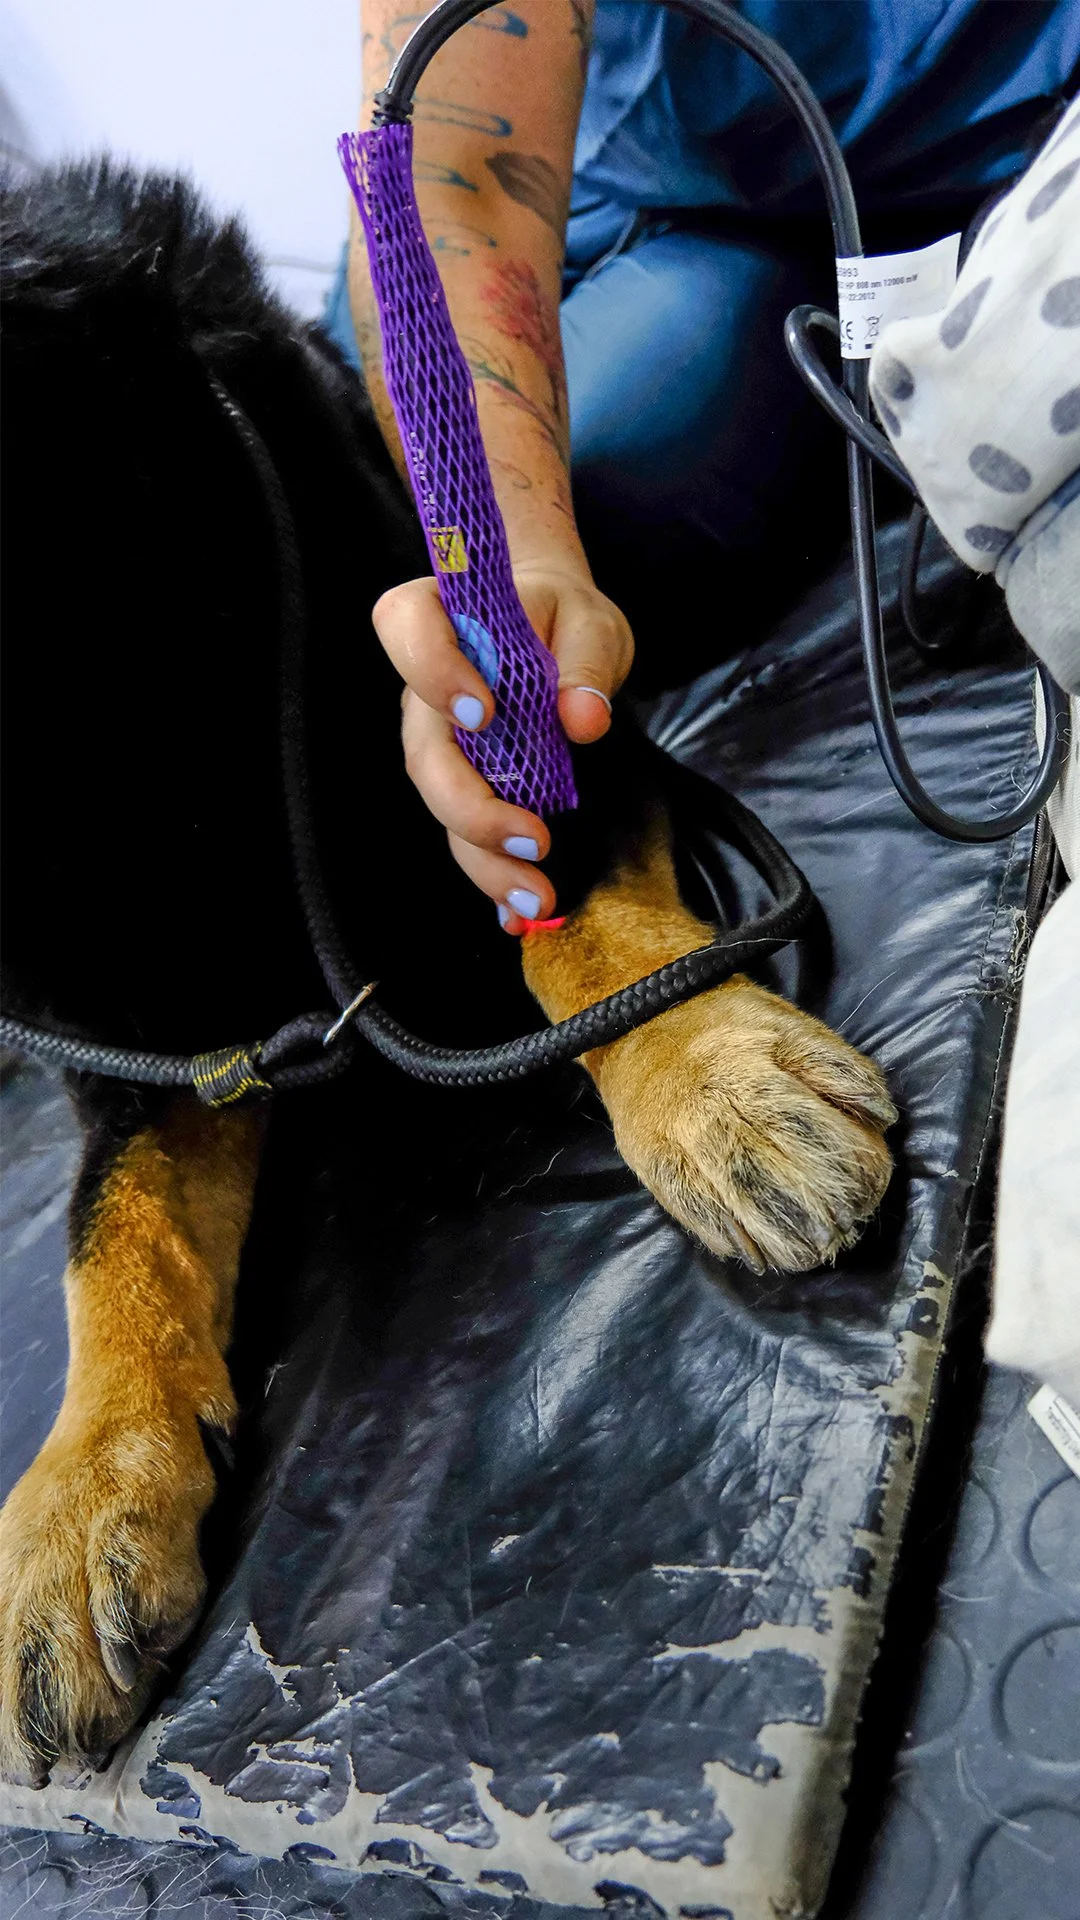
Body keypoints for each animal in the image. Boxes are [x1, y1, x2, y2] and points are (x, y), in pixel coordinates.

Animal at [0, 161, 896, 1782]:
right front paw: (82, 1491)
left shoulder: (510, 709)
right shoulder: (140, 1036)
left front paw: (709, 1082)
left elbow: (567, 932)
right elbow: (109, 1230)